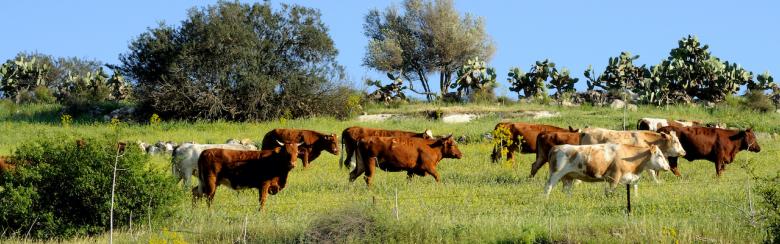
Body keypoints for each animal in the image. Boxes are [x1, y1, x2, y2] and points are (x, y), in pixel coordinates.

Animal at [544, 144, 672, 195]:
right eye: (659, 155)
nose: (668, 167)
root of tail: (556, 147)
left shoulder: (631, 178)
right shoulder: (614, 177)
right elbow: (610, 192)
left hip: (568, 177)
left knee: (566, 190)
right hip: (555, 174)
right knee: (548, 187)